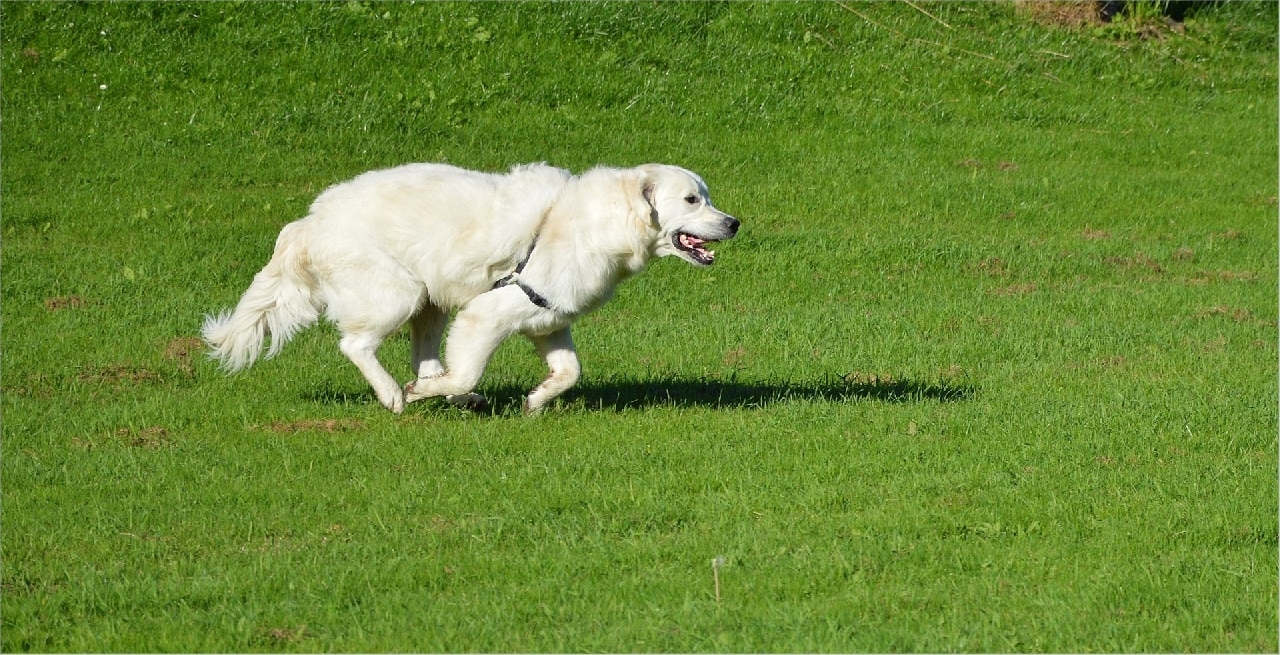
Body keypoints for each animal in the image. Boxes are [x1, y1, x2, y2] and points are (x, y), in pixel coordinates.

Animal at [200, 161, 742, 411]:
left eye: (707, 196)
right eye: (692, 200)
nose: (734, 223)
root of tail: (308, 224)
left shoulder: (548, 319)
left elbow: (569, 372)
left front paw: (534, 402)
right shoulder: (488, 314)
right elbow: (465, 371)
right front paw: (425, 394)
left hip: (430, 301)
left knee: (425, 354)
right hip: (399, 294)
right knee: (357, 345)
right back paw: (397, 395)